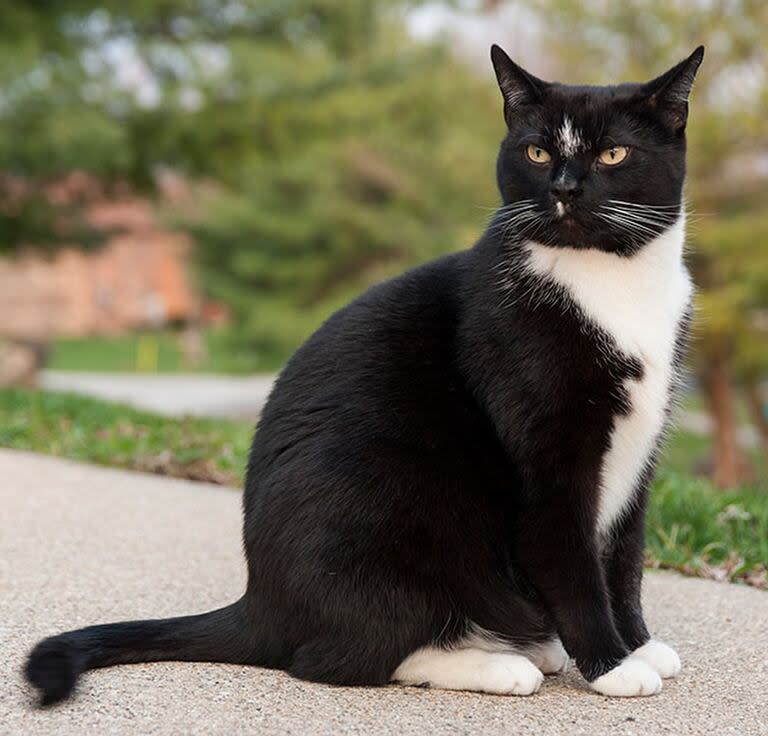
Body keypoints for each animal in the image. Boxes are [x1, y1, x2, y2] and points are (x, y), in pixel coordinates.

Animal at [28, 41, 704, 708]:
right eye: (538, 151)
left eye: (614, 153)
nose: (565, 188)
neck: (611, 283)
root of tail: (261, 604)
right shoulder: (548, 452)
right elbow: (570, 558)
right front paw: (611, 665)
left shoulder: (640, 450)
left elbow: (624, 558)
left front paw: (639, 645)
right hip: (391, 513)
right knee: (336, 658)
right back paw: (498, 664)